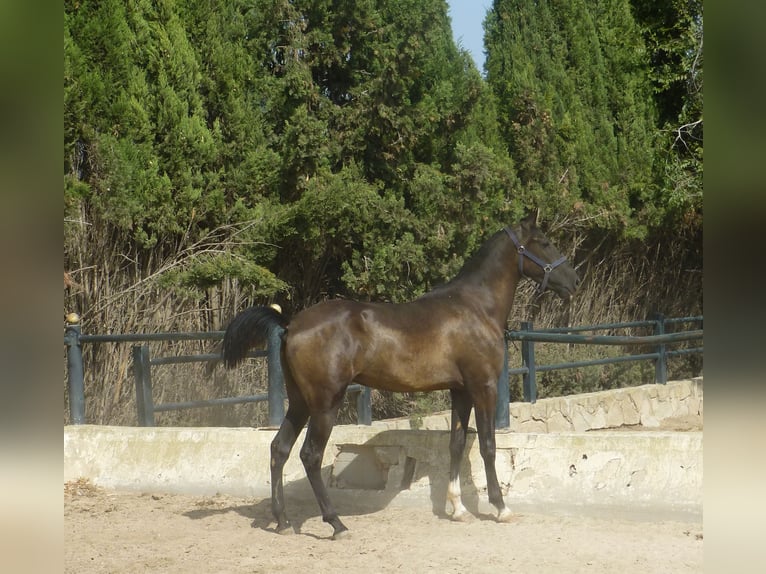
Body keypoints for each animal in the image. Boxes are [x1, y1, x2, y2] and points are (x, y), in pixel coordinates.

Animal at [224, 210, 584, 540]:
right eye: (544, 243)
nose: (572, 282)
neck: (475, 308)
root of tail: (290, 324)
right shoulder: (484, 387)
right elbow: (487, 445)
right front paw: (501, 508)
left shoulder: (461, 390)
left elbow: (455, 444)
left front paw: (458, 509)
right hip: (325, 404)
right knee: (309, 455)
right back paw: (336, 524)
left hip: (300, 402)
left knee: (279, 449)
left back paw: (283, 521)